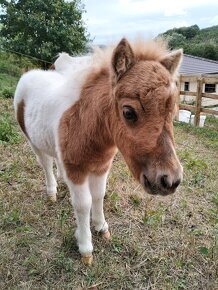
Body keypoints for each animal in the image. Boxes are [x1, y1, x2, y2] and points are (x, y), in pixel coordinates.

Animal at [14, 38, 182, 266]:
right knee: (45, 164)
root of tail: (29, 74)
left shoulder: (102, 167)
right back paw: (52, 192)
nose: (169, 180)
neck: (87, 126)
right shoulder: (76, 170)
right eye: (128, 112)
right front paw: (86, 247)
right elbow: (83, 204)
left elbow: (99, 195)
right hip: (33, 141)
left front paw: (101, 227)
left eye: (172, 113)